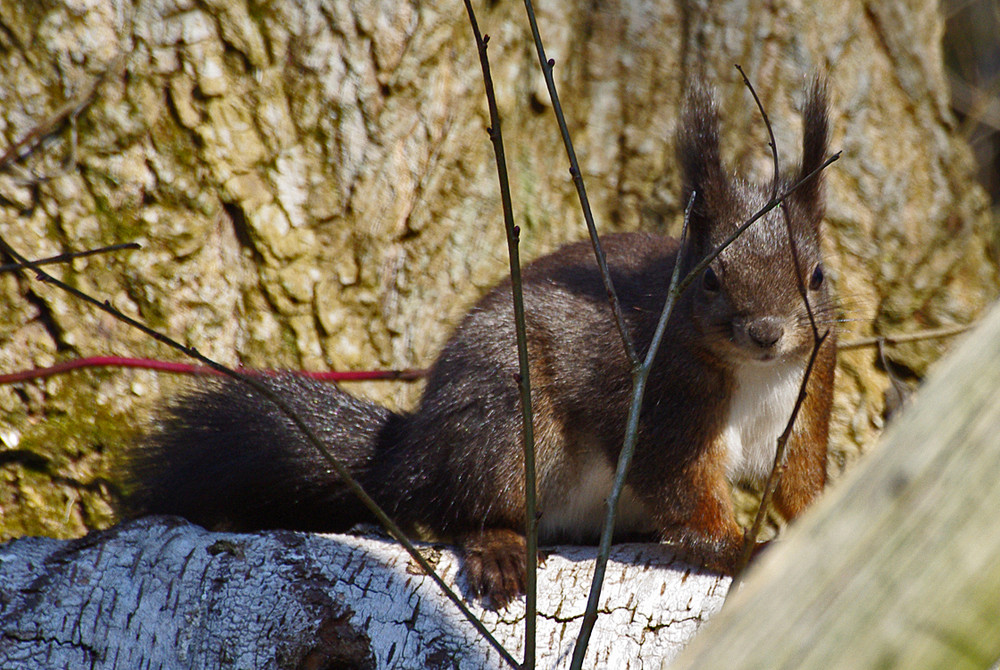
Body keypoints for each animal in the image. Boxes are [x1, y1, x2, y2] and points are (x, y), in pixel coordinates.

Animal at [129, 81, 840, 612]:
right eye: (710, 278)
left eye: (816, 275)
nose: (767, 331)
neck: (755, 375)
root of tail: (413, 454)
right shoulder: (659, 400)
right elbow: (682, 492)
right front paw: (745, 549)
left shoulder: (806, 400)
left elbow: (801, 479)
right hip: (507, 426)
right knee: (456, 510)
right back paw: (497, 546)